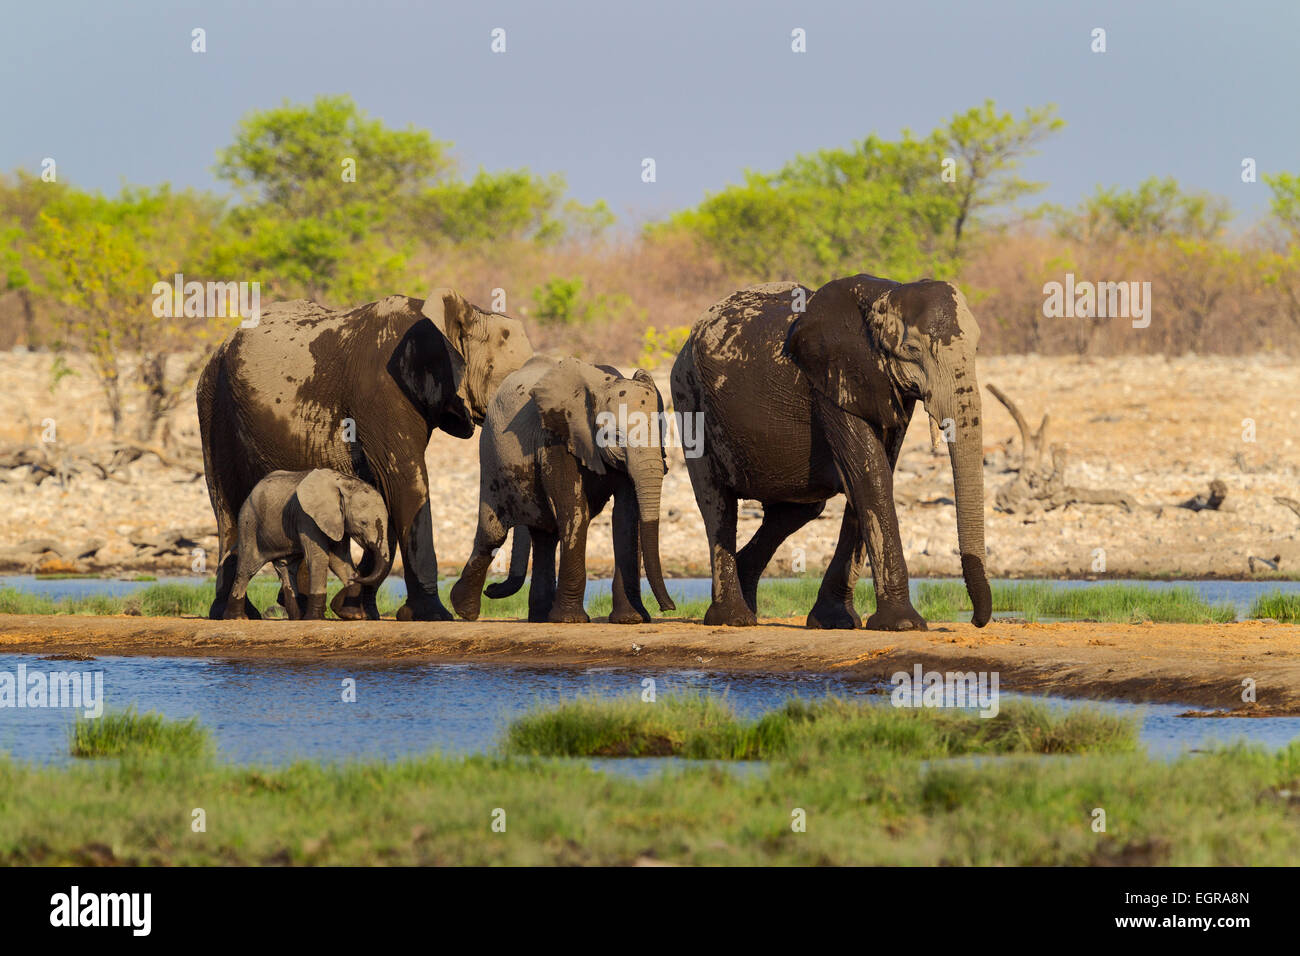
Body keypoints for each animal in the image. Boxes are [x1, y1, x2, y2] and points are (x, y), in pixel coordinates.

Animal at [223, 468, 390, 621]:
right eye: (363, 523)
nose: (358, 576)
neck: (343, 483)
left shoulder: (337, 521)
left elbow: (339, 560)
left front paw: (353, 615)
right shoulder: (306, 517)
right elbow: (319, 559)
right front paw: (315, 619)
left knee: (286, 569)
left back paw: (296, 618)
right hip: (249, 524)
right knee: (247, 568)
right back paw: (237, 618)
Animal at [449, 356, 676, 624]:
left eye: (662, 433)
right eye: (617, 437)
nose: (668, 608)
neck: (601, 385)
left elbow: (625, 517)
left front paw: (629, 620)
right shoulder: (557, 437)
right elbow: (575, 509)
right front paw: (571, 620)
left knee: (545, 536)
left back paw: (539, 617)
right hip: (491, 454)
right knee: (493, 532)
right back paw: (464, 610)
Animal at [676, 277, 987, 632]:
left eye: (976, 350)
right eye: (911, 350)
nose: (976, 621)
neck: (885, 295)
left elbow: (870, 477)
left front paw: (834, 622)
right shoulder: (832, 383)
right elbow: (871, 478)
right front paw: (903, 625)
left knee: (799, 511)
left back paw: (747, 602)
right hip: (689, 396)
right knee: (717, 504)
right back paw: (734, 619)